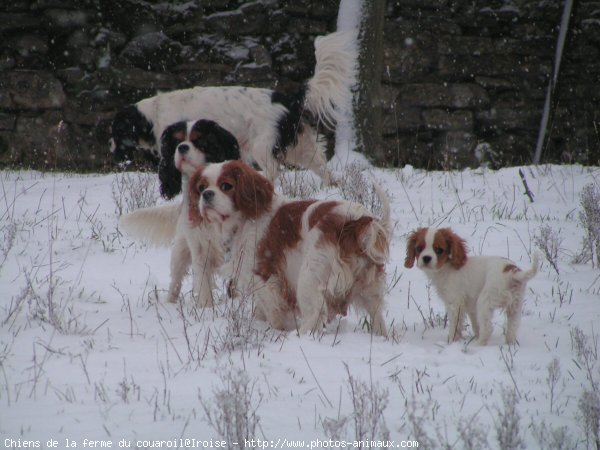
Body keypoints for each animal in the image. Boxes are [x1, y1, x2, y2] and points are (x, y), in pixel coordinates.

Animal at [110, 31, 354, 192]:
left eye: (116, 131)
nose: (112, 149)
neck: (152, 115)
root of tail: (289, 99)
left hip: (262, 146)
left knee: (274, 171)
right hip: (300, 147)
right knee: (322, 166)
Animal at [119, 119, 239, 304]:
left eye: (200, 141)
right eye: (177, 141)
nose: (182, 147)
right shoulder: (199, 248)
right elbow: (203, 286)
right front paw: (206, 309)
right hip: (180, 251)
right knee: (175, 280)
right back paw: (170, 305)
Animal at [190, 161, 392, 334]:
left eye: (226, 186)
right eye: (201, 187)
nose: (206, 194)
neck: (247, 217)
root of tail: (355, 220)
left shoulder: (263, 276)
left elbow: (272, 310)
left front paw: (275, 330)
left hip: (309, 277)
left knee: (314, 316)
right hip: (368, 286)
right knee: (377, 317)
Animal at [404, 229, 540, 344]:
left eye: (439, 250)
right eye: (419, 248)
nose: (426, 258)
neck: (447, 268)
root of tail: (513, 272)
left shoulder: (455, 304)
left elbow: (455, 326)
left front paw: (451, 342)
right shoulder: (471, 307)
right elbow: (476, 325)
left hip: (485, 301)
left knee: (487, 329)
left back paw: (477, 345)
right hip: (515, 305)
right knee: (512, 327)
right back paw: (509, 345)